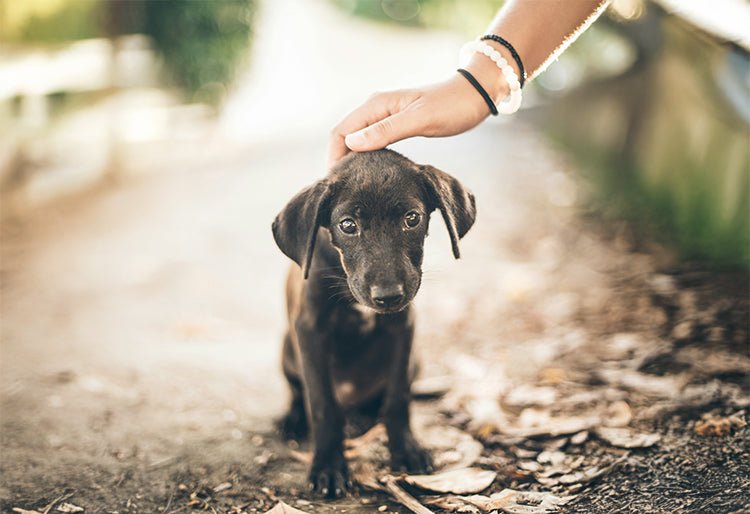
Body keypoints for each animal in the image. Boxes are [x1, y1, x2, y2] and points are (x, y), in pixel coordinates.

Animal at [274, 149, 478, 496]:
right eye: (348, 225)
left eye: (412, 218)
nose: (388, 296)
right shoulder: (310, 331)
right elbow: (323, 403)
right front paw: (328, 466)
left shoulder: (402, 328)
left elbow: (397, 398)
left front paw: (405, 449)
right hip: (287, 351)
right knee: (298, 391)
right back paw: (293, 418)